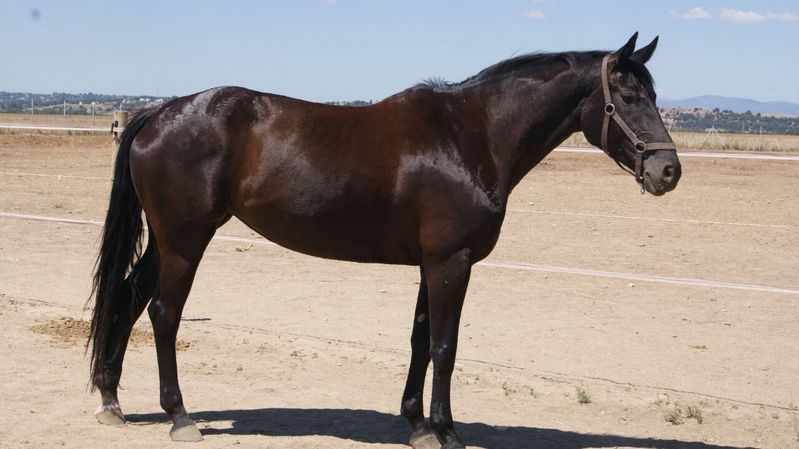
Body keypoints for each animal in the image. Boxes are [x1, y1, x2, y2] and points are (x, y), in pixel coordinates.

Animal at [88, 32, 681, 449]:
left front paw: (417, 425)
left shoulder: (430, 262)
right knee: (163, 314)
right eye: (628, 96)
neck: (468, 138)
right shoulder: (451, 262)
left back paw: (111, 400)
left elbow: (420, 340)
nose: (668, 171)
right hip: (185, 240)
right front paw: (447, 430)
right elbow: (445, 346)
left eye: (655, 94)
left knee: (127, 299)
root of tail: (158, 112)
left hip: (168, 241)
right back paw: (179, 416)